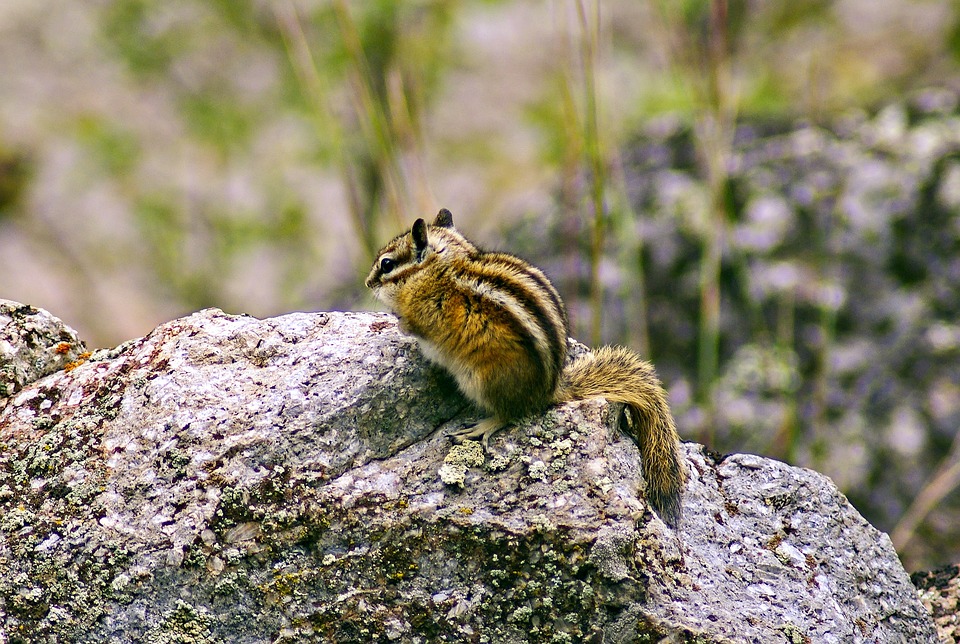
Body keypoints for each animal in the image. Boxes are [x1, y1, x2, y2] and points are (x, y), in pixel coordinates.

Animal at [365, 208, 686, 525]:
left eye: (387, 264)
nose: (368, 283)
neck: (439, 268)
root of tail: (548, 391)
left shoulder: (421, 314)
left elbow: (411, 326)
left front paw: (397, 324)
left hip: (482, 380)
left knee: (510, 414)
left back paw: (480, 428)